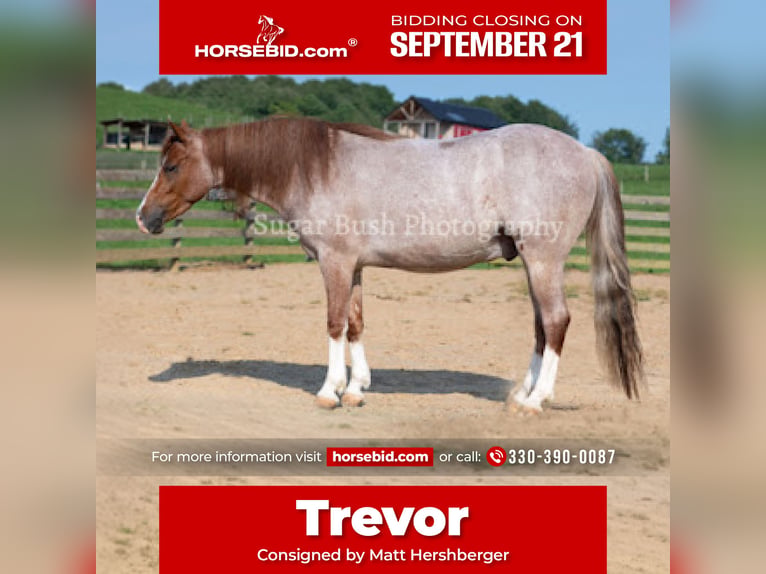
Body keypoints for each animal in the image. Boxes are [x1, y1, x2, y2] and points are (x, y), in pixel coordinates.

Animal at [136, 117, 643, 412]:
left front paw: (329, 391)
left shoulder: (335, 263)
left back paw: (536, 401)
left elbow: (334, 323)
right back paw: (521, 393)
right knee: (542, 325)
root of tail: (585, 153)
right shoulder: (354, 266)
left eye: (171, 167)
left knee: (556, 321)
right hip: (534, 265)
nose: (143, 218)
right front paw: (357, 388)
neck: (315, 167)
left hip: (542, 260)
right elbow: (356, 324)